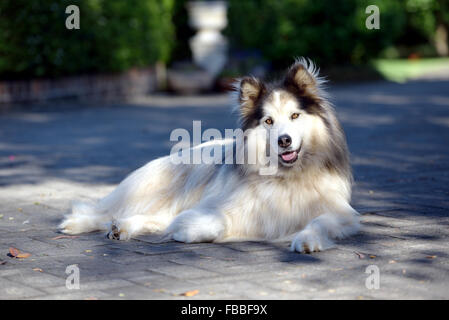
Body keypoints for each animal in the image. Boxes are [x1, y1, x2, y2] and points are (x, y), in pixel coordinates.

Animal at [60, 57, 360, 252]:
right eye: (269, 121)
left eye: (295, 116)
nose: (284, 141)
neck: (287, 176)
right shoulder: (226, 206)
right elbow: (213, 221)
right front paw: (186, 230)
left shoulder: (343, 214)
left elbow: (319, 222)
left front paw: (306, 241)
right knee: (115, 211)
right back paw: (85, 224)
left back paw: (120, 228)